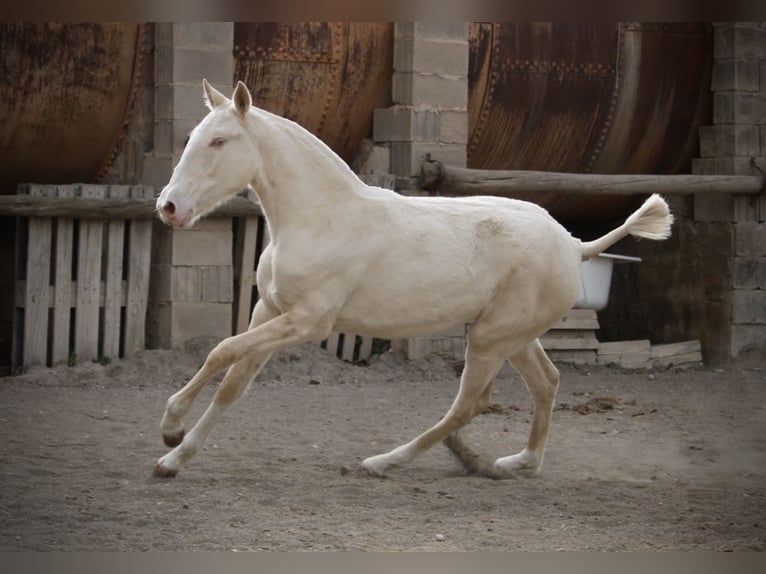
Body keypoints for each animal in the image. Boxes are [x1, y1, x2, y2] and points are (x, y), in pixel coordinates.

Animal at [153, 79, 676, 480]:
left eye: (219, 141)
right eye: (194, 136)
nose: (169, 207)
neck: (321, 217)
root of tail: (574, 245)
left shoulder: (307, 321)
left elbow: (221, 352)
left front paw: (171, 425)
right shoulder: (271, 310)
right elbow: (232, 381)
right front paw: (173, 456)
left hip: (490, 338)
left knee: (470, 404)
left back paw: (385, 462)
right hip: (512, 336)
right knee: (546, 383)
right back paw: (518, 463)